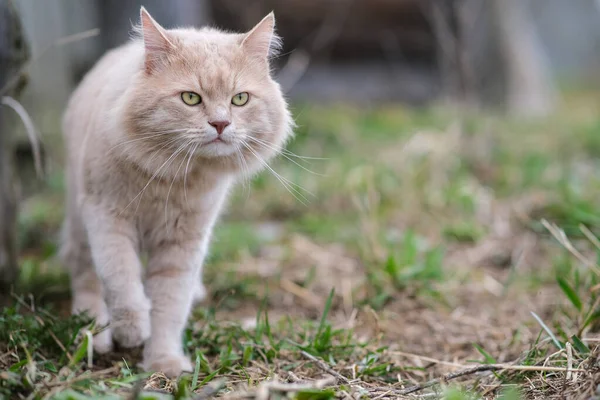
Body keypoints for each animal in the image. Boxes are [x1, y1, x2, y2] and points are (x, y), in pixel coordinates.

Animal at [60, 5, 292, 376]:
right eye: (190, 98)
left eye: (239, 99)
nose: (221, 124)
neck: (170, 178)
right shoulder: (107, 218)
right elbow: (121, 276)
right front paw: (131, 330)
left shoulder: (183, 244)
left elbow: (169, 305)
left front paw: (163, 362)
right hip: (79, 220)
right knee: (84, 274)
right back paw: (93, 334)